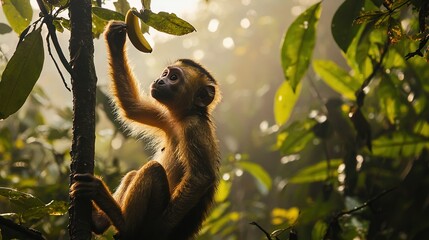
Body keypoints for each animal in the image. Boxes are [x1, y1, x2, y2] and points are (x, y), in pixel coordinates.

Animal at [70, 21, 221, 240]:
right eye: (165, 74)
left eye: (173, 77)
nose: (160, 80)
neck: (181, 118)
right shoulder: (166, 118)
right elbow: (132, 107)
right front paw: (115, 39)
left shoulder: (194, 126)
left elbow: (201, 178)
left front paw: (156, 230)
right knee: (136, 173)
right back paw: (99, 220)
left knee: (152, 170)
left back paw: (124, 224)